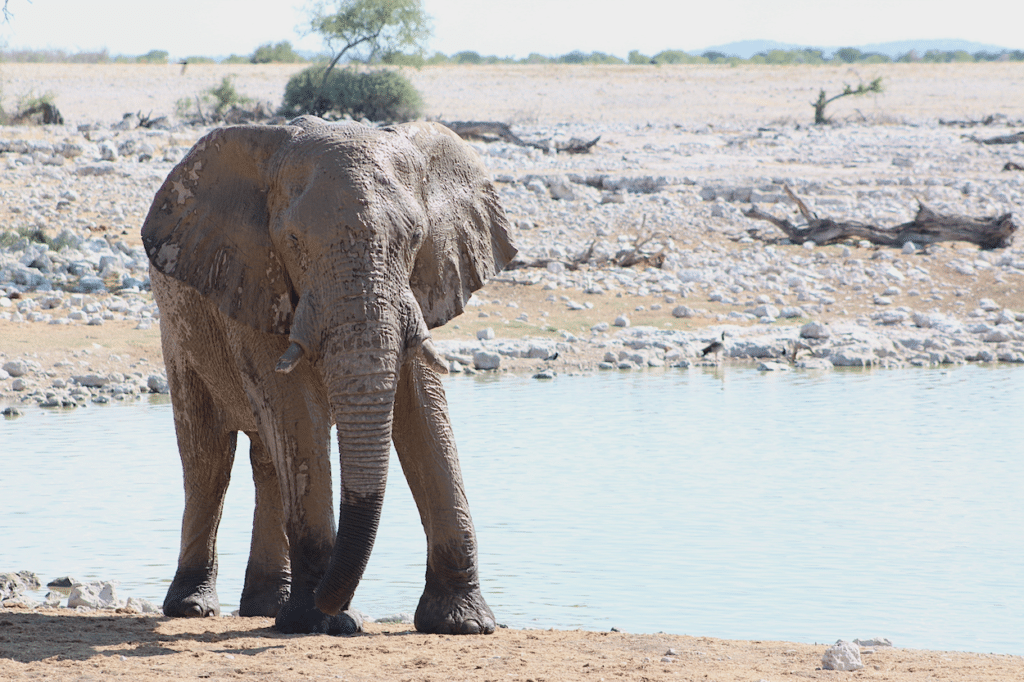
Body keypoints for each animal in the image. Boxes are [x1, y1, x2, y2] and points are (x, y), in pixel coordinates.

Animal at [140, 115, 516, 630]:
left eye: (414, 239)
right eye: (293, 242)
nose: (336, 605)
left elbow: (423, 411)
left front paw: (463, 623)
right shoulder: (256, 276)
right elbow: (295, 408)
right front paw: (318, 623)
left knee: (266, 460)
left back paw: (267, 606)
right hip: (178, 326)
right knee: (209, 458)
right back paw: (194, 607)